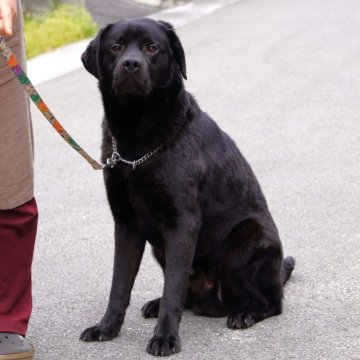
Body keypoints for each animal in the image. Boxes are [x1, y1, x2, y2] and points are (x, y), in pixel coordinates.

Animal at [80, 19, 294, 354]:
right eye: (116, 47)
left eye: (151, 48)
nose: (131, 64)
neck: (136, 141)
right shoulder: (126, 224)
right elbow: (120, 284)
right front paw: (106, 328)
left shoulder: (182, 223)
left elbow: (173, 288)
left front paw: (165, 338)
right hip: (159, 248)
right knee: (187, 296)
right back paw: (157, 304)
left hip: (248, 241)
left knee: (272, 302)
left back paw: (245, 313)